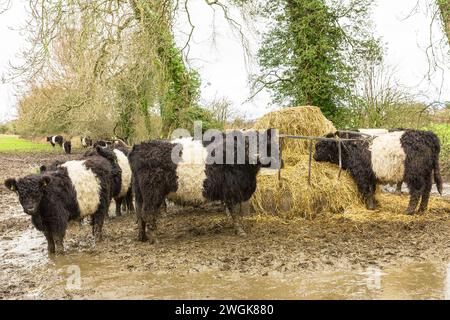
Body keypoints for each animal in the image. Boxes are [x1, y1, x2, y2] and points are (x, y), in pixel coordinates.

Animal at [129, 128, 278, 242]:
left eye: (264, 144)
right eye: (247, 144)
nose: (257, 157)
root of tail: (139, 146)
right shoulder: (232, 190)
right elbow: (234, 211)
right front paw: (240, 230)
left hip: (139, 192)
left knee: (139, 212)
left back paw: (142, 236)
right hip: (152, 193)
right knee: (148, 212)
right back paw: (154, 238)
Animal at [312, 129, 442, 215]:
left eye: (322, 145)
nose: (314, 156)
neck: (350, 146)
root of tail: (427, 135)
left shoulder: (362, 174)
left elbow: (366, 191)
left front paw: (369, 207)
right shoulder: (371, 176)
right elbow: (372, 190)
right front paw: (374, 205)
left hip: (415, 174)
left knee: (417, 191)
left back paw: (409, 211)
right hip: (427, 173)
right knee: (427, 190)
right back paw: (421, 210)